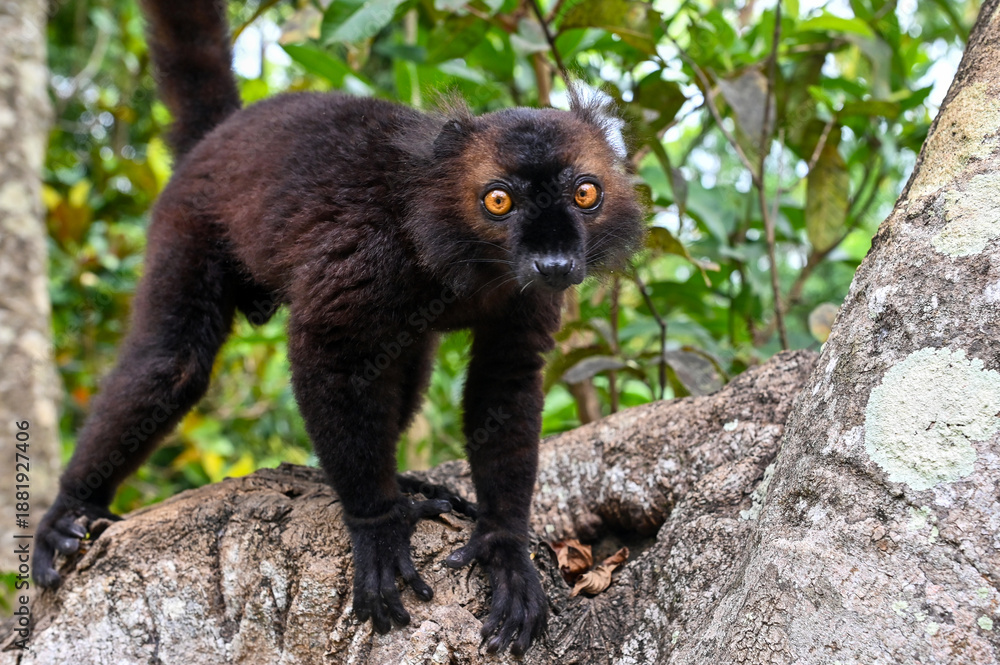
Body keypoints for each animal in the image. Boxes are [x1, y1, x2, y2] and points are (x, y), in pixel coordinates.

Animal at [33, 0, 644, 655]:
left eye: (586, 194)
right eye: (498, 201)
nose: (554, 263)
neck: (476, 259)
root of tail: (224, 134)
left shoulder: (526, 298)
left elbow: (505, 379)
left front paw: (504, 546)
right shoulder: (372, 256)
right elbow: (328, 353)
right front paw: (377, 525)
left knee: (406, 355)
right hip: (187, 220)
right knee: (170, 362)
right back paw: (68, 510)